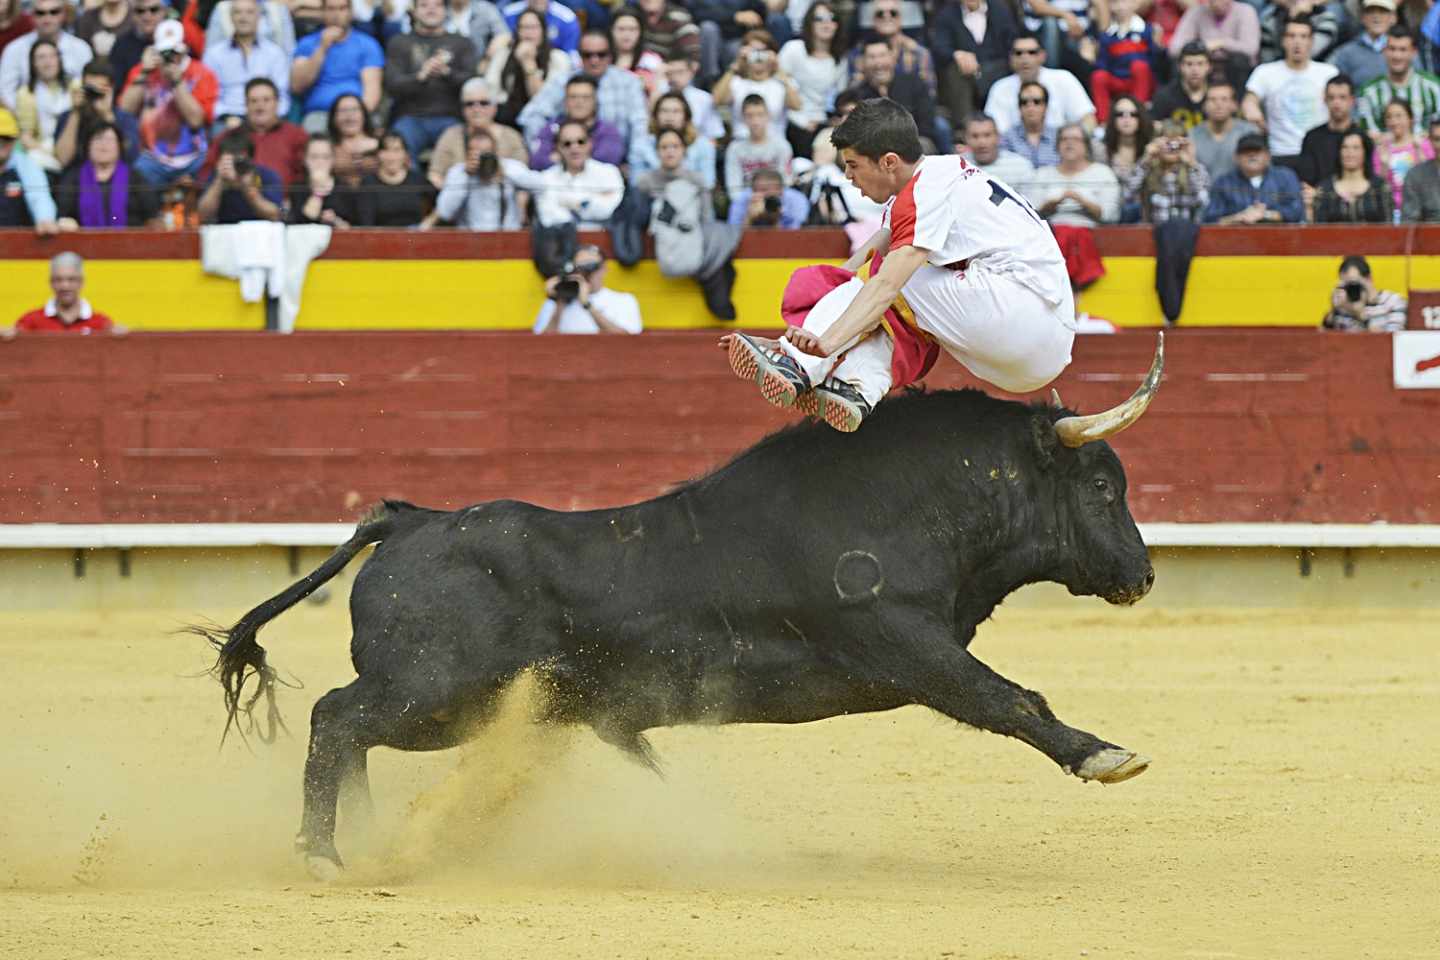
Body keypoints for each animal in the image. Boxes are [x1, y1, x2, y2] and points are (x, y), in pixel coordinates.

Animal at [197, 339, 1163, 880]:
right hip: (436, 688)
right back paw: (323, 853)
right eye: (1103, 487)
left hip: (455, 706)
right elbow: (1008, 698)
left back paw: (354, 839)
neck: (909, 502)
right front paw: (1107, 755)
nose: (1144, 575)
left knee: (348, 729)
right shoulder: (908, 645)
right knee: (334, 717)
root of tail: (411, 518)